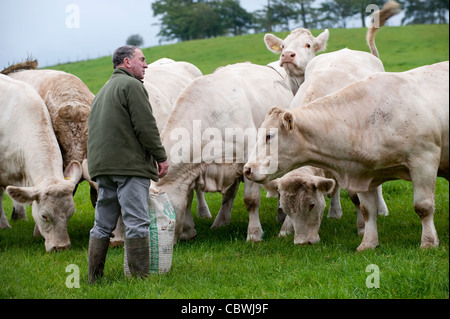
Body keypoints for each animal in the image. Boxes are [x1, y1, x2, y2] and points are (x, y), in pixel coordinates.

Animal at [155, 62, 294, 242]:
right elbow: (188, 198)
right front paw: (188, 231)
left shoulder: (249, 158)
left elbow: (251, 200)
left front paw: (254, 233)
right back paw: (221, 221)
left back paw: (282, 216)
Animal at [244, 62, 448, 252]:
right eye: (285, 208)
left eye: (269, 136)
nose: (248, 169)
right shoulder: (365, 173)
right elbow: (367, 210)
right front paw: (368, 243)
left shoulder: (423, 161)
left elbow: (423, 207)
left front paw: (429, 242)